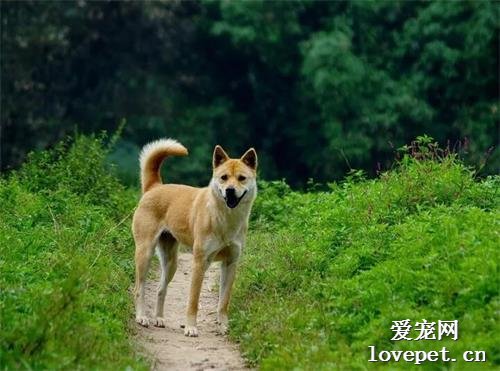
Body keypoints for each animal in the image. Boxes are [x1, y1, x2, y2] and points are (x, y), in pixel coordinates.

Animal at [133, 139, 258, 338]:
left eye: (241, 178)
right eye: (223, 177)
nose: (230, 191)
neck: (225, 219)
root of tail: (155, 186)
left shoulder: (230, 263)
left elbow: (223, 302)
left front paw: (223, 327)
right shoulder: (199, 263)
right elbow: (193, 301)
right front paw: (191, 327)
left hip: (171, 263)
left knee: (161, 289)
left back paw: (159, 319)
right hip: (145, 253)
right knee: (139, 288)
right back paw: (141, 317)